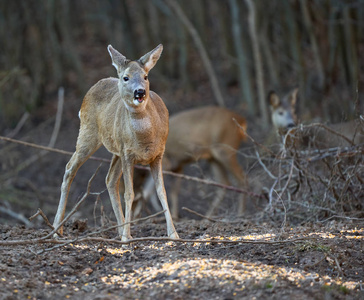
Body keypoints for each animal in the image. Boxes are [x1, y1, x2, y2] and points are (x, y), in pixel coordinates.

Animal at [53, 44, 179, 241]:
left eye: (145, 76)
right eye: (126, 77)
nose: (140, 92)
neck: (145, 138)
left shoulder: (158, 154)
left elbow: (162, 192)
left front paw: (173, 234)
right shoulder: (128, 154)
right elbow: (129, 193)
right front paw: (127, 238)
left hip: (116, 149)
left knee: (110, 179)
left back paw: (119, 230)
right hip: (88, 133)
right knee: (70, 168)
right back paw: (56, 229)